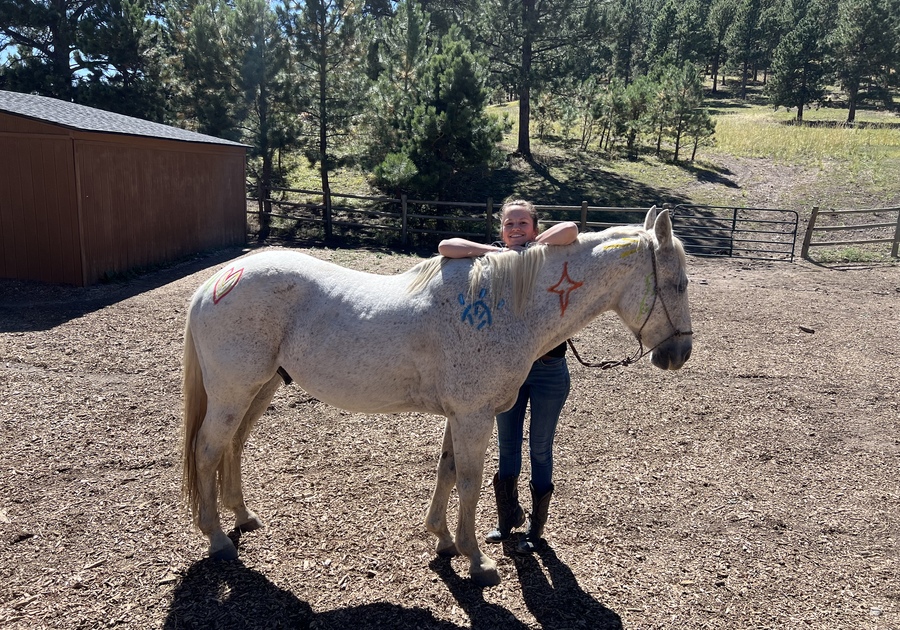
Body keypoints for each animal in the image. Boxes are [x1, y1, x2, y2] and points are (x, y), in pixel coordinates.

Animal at [179, 206, 692, 588]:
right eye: (680, 283)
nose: (679, 353)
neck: (507, 305)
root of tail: (217, 281)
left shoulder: (460, 416)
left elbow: (446, 472)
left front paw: (443, 540)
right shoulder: (473, 417)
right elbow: (468, 481)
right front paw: (477, 561)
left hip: (259, 388)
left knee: (233, 446)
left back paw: (243, 516)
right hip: (233, 391)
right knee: (207, 450)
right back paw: (217, 538)